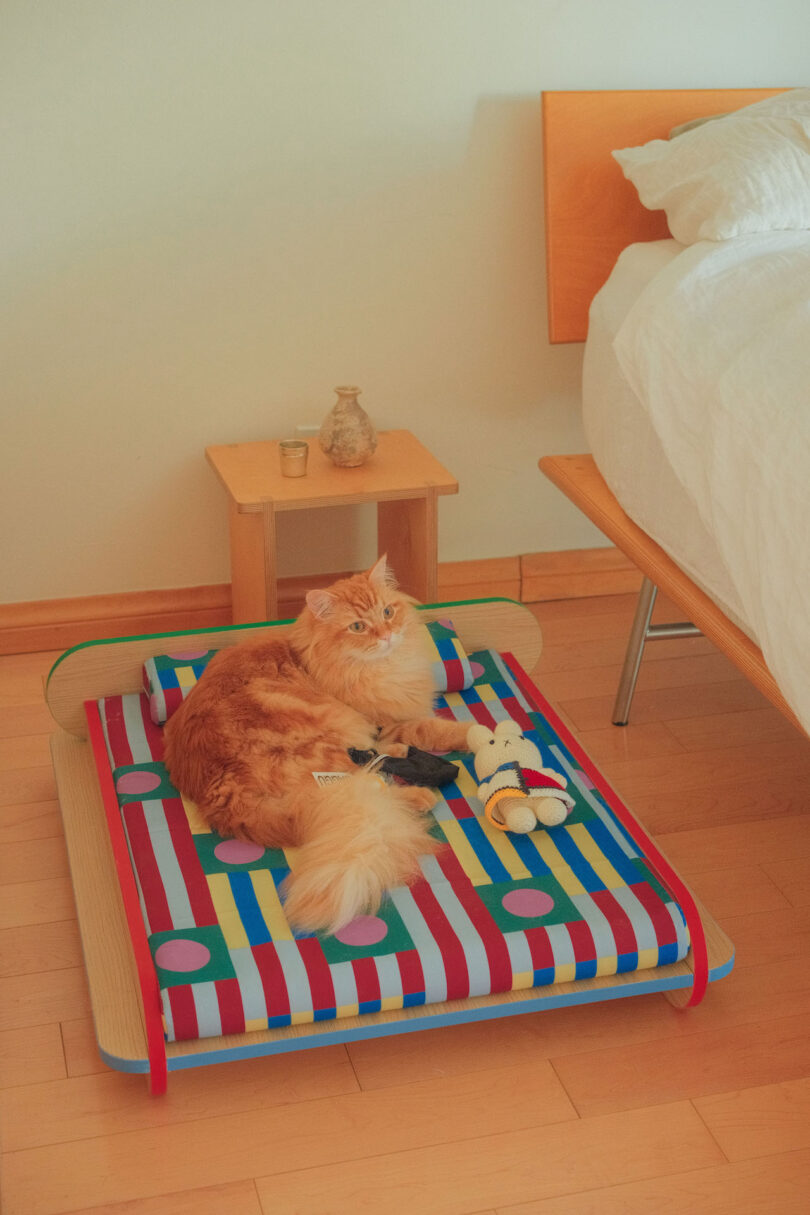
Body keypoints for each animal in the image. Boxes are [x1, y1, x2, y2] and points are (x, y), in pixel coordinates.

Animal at [162, 556, 468, 933]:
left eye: (387, 612)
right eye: (357, 626)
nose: (387, 635)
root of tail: (217, 791)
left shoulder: (386, 728)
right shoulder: (386, 723)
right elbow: (437, 729)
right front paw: (485, 734)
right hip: (328, 743)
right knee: (367, 785)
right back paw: (421, 796)